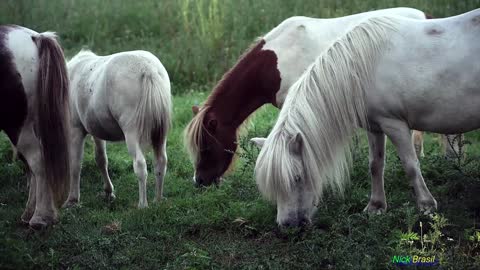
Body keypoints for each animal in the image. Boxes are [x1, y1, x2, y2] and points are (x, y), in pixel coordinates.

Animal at [64, 49, 172, 208]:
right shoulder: (96, 132)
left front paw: (72, 199)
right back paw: (157, 200)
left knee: (140, 165)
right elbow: (101, 159)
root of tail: (147, 68)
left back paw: (143, 205)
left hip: (132, 134)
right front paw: (108, 192)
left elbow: (75, 164)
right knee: (161, 162)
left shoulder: (75, 130)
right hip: (160, 135)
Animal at [251, 8, 480, 226]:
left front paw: (426, 206)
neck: (361, 69)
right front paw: (376, 207)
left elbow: (411, 165)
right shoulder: (375, 126)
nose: (287, 225)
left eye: (297, 178)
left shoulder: (395, 125)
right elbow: (375, 165)